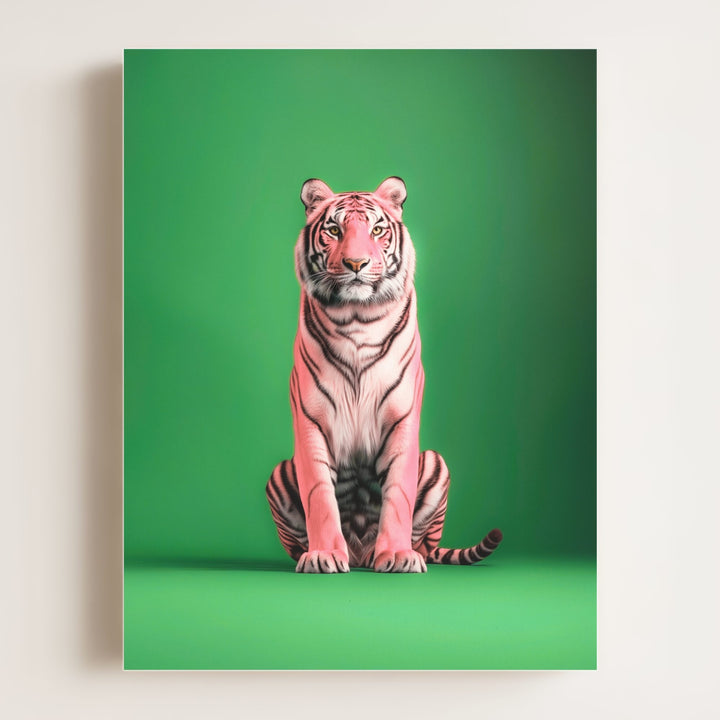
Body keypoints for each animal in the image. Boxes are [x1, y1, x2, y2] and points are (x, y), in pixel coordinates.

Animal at [266, 177, 503, 573]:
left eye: (377, 230)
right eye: (334, 230)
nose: (356, 263)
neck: (356, 318)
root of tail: (361, 555)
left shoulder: (402, 416)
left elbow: (398, 494)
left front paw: (397, 555)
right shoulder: (311, 419)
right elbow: (319, 494)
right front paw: (323, 554)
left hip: (436, 463)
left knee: (426, 543)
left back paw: (405, 552)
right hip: (280, 472)